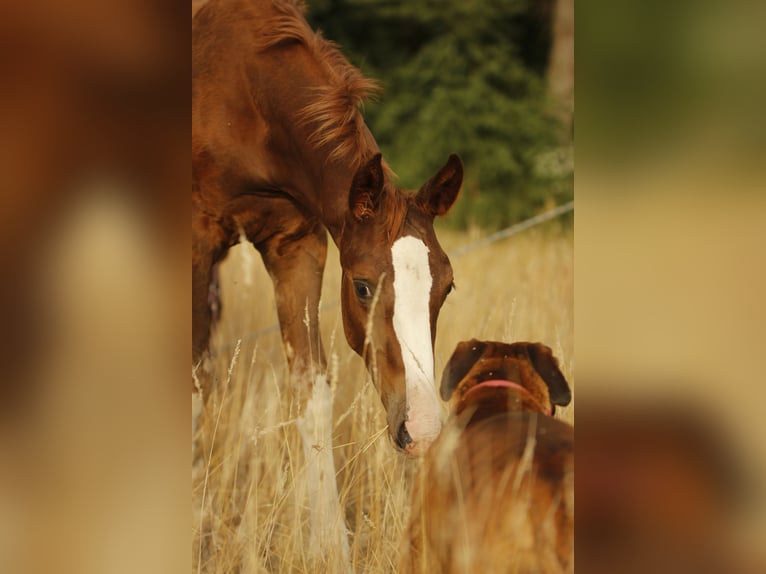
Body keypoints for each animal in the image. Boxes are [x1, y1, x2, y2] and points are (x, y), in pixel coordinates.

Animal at [194, 0, 462, 564]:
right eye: (362, 286)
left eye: (446, 288)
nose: (423, 429)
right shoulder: (195, 237)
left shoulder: (298, 245)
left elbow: (310, 390)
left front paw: (328, 546)